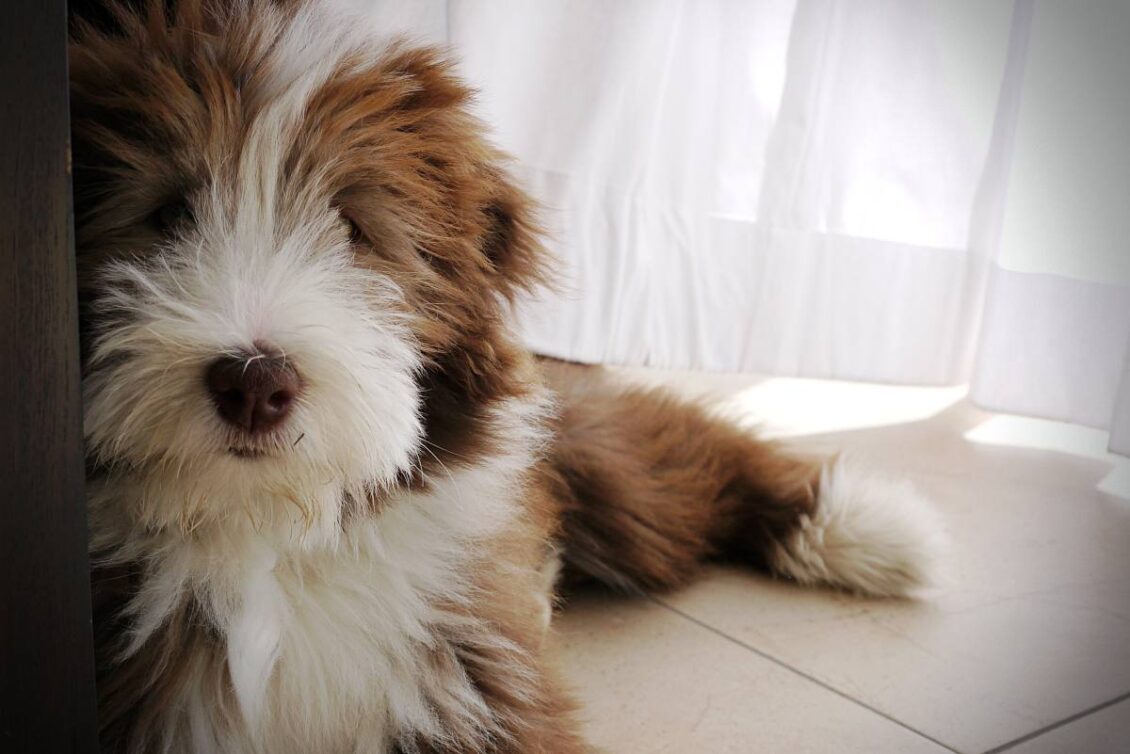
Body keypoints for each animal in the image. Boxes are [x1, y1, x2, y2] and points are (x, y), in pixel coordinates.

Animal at [70, 2, 949, 750]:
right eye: (167, 213)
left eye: (352, 228)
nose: (256, 383)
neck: (268, 537)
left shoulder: (478, 678)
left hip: (599, 466)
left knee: (680, 454)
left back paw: (873, 528)